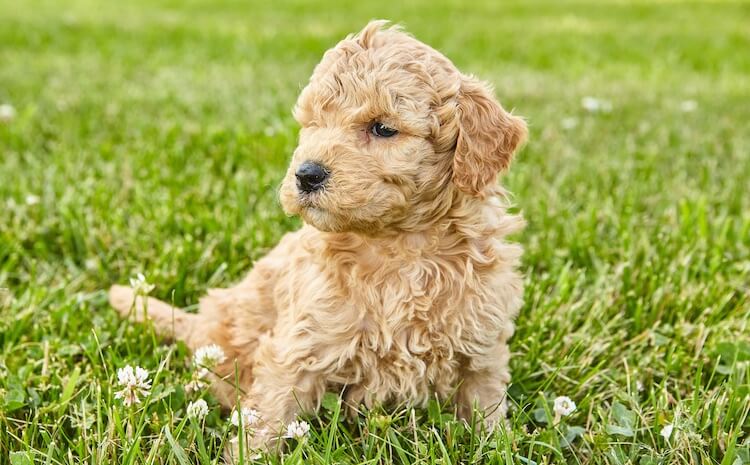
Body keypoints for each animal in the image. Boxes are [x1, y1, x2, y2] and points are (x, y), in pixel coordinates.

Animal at [110, 20, 528, 446]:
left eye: (383, 128)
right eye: (312, 124)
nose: (306, 174)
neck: (399, 245)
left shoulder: (482, 348)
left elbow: (485, 408)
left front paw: (497, 444)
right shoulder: (298, 348)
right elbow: (268, 418)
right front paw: (250, 452)